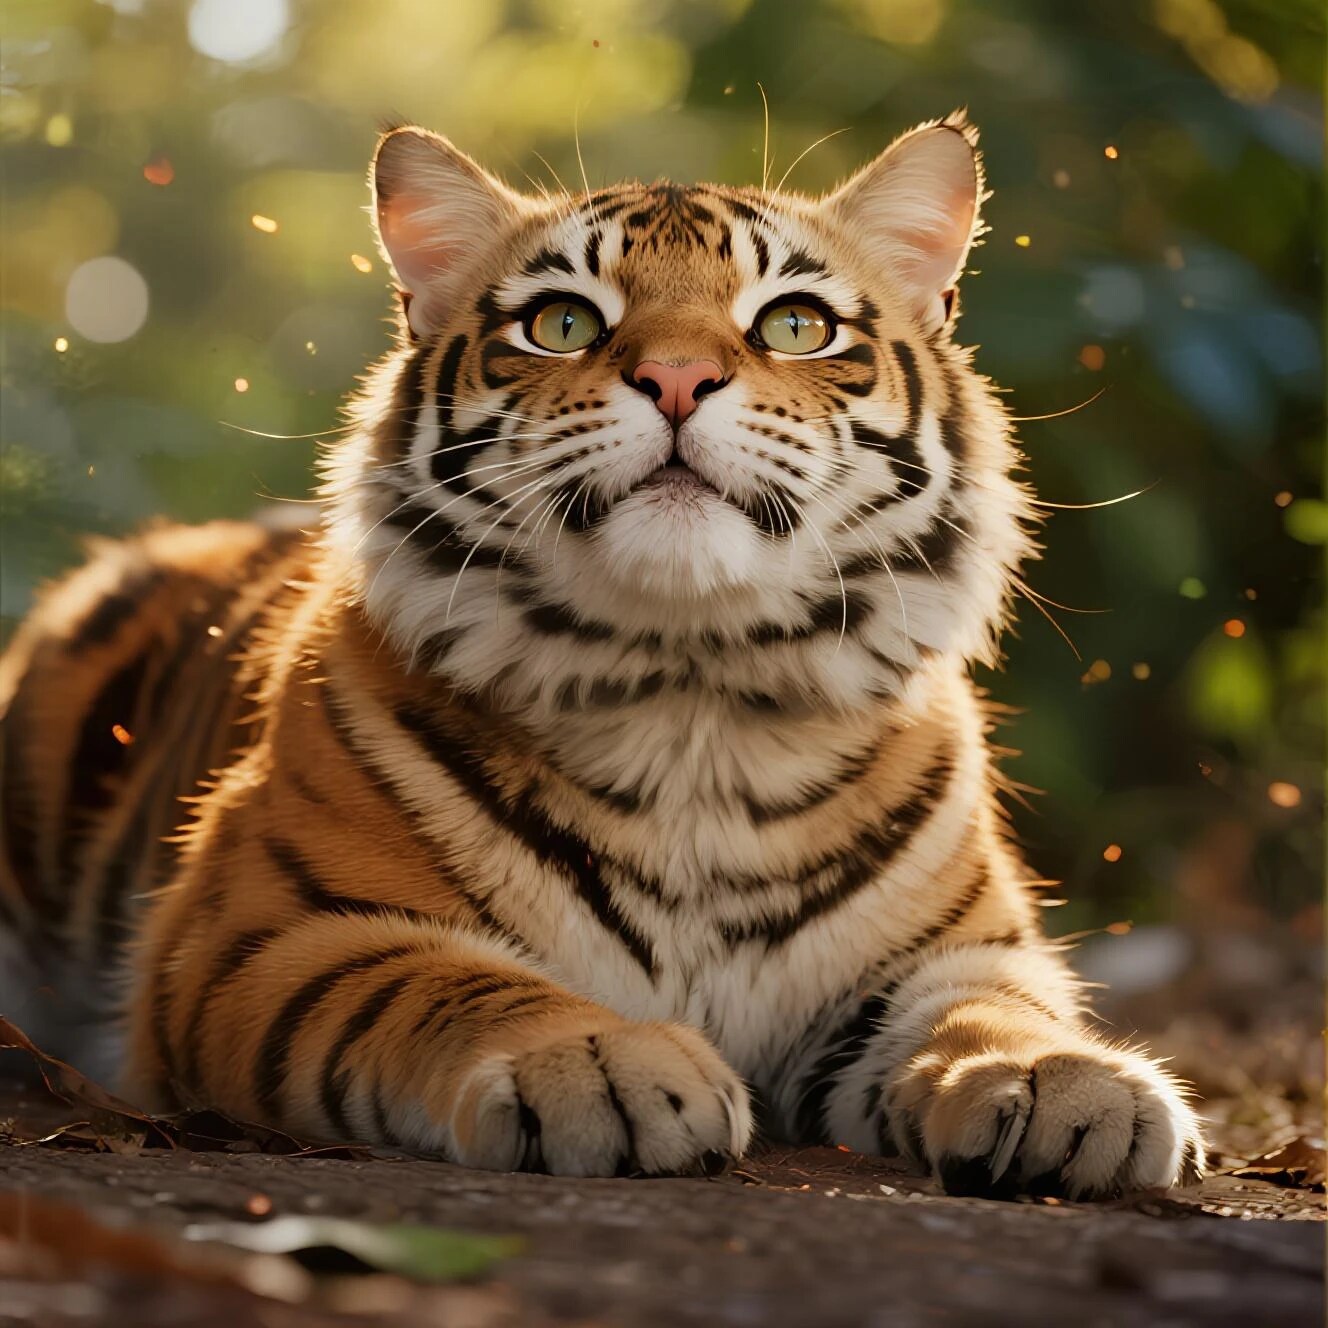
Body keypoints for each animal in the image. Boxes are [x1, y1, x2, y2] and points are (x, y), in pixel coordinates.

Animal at [0, 112, 1204, 1196]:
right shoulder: (263, 933)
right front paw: (598, 1064)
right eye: (564, 322)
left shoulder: (949, 949)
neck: (692, 695)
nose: (675, 379)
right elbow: (444, 983)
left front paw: (1064, 1084)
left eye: (796, 324)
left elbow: (993, 1008)